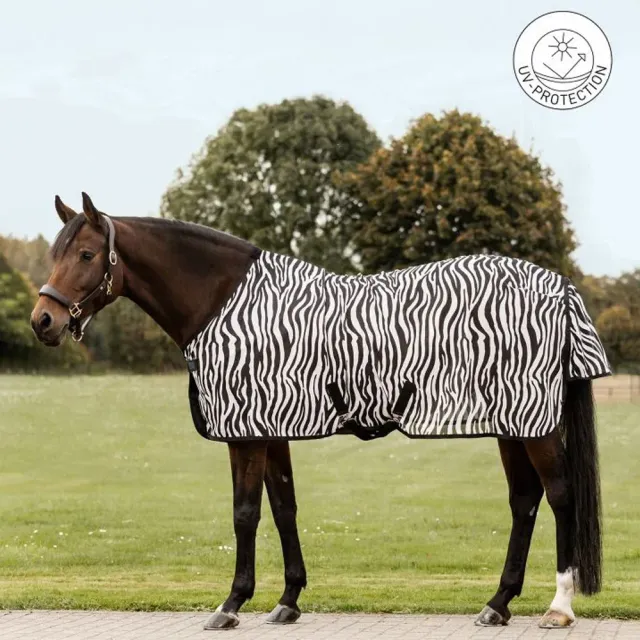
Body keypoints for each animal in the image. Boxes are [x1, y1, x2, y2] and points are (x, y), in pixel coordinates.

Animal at [30, 193, 606, 630]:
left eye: (87, 254)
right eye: (59, 251)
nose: (43, 321)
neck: (225, 304)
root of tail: (560, 288)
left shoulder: (245, 434)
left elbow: (245, 513)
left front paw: (231, 604)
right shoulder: (272, 429)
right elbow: (284, 507)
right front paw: (287, 601)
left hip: (533, 424)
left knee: (559, 496)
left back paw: (558, 607)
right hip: (510, 424)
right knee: (524, 501)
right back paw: (497, 604)